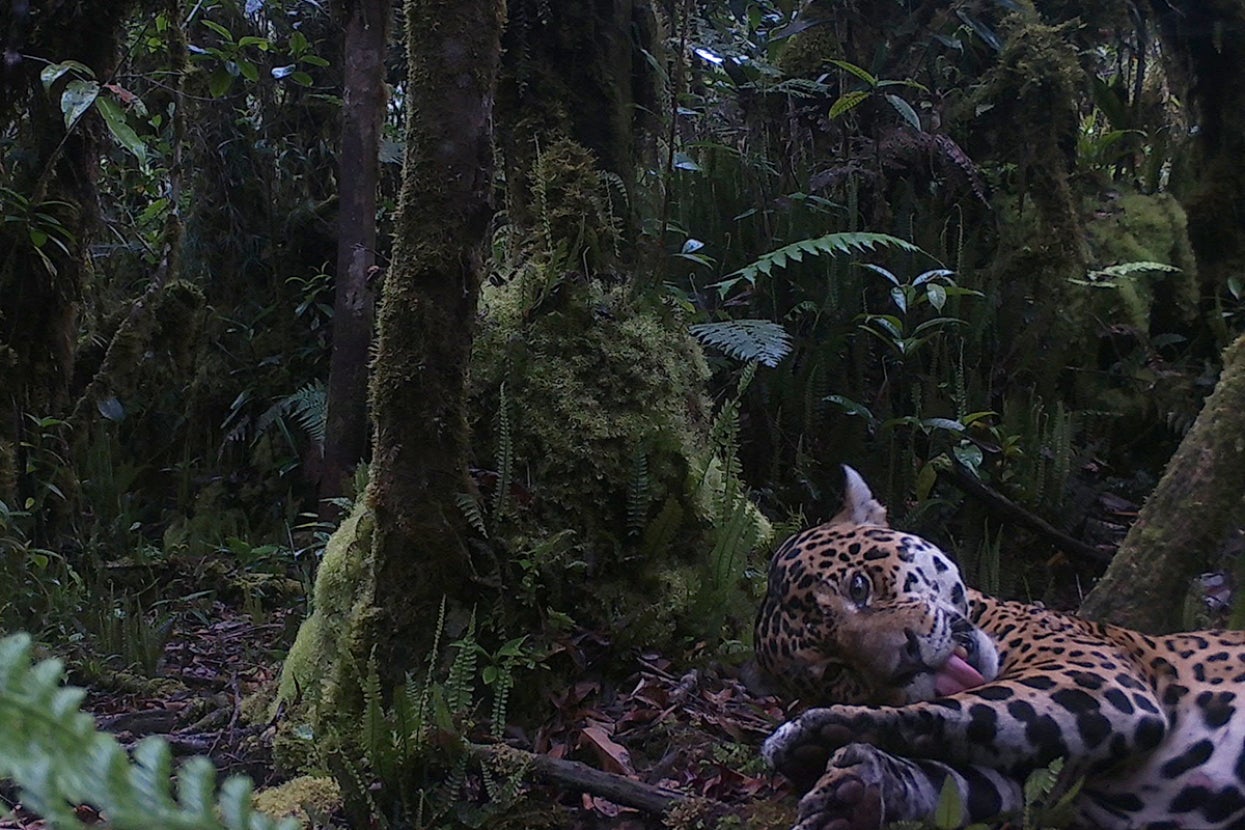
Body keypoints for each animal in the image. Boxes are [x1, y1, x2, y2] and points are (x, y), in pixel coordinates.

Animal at [755, 466, 1245, 830]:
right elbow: (961, 776)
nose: (904, 662)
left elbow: (956, 709)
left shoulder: (1095, 681)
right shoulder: (1038, 785)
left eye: (859, 587)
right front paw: (854, 790)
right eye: (837, 673)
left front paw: (806, 735)